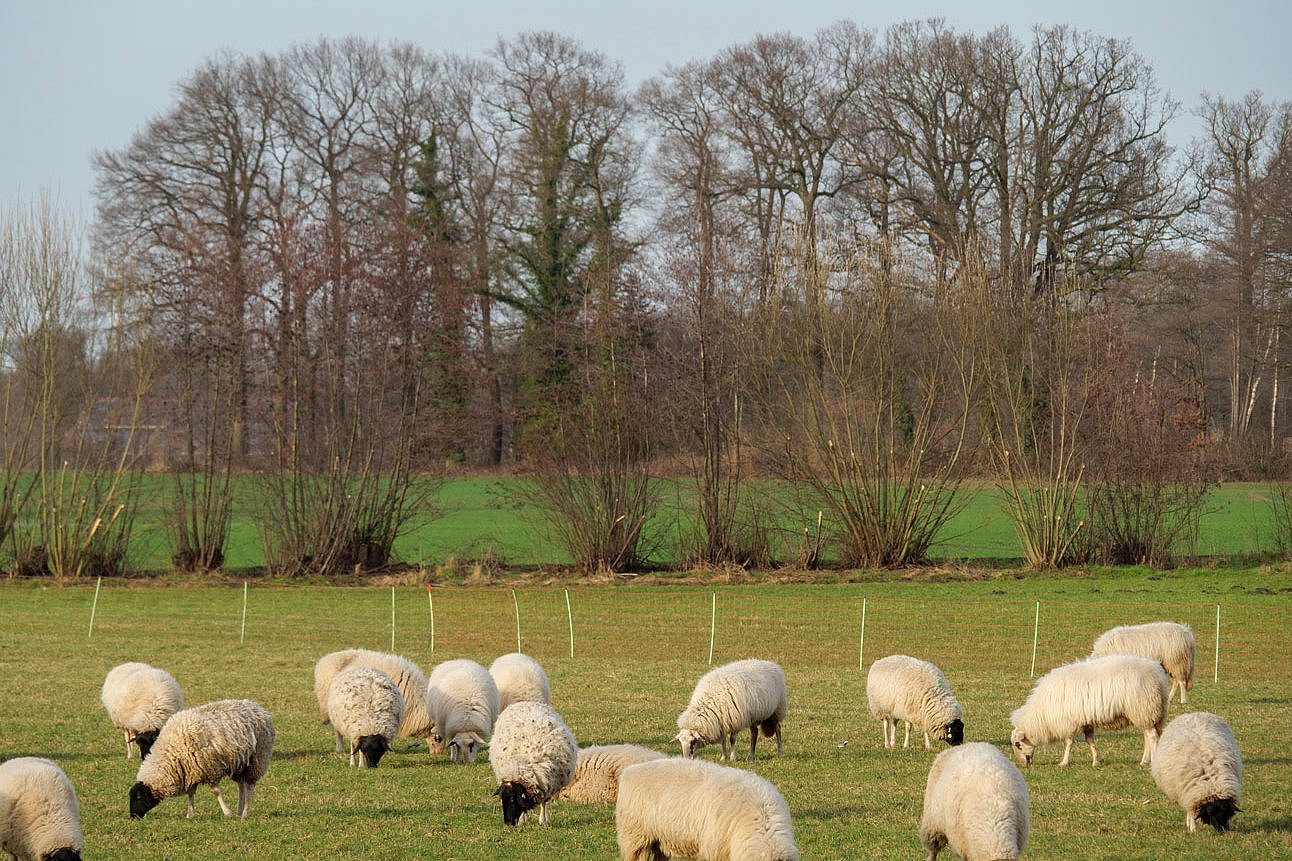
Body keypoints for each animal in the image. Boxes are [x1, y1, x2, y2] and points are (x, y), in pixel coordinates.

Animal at [128, 692, 275, 817]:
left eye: (138, 797)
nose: (133, 816)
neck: (171, 754)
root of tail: (257, 707)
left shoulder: (210, 769)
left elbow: (216, 792)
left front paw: (227, 812)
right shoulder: (190, 771)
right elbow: (190, 793)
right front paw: (190, 814)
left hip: (257, 759)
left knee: (249, 786)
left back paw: (245, 813)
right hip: (240, 763)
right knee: (241, 786)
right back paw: (239, 811)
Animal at [490, 698, 578, 827]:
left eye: (512, 800)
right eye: (501, 799)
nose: (508, 823)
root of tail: (525, 702)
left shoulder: (547, 784)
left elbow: (544, 802)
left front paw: (543, 820)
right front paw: (523, 819)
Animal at [1007, 651, 1173, 765]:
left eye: (1018, 744)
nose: (1023, 764)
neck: (1041, 714)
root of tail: (1157, 673)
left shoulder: (1070, 722)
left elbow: (1069, 743)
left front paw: (1064, 762)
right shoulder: (1086, 721)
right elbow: (1090, 741)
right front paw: (1095, 761)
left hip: (1143, 710)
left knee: (1152, 737)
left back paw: (1150, 761)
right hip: (1151, 713)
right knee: (1148, 737)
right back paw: (1144, 760)